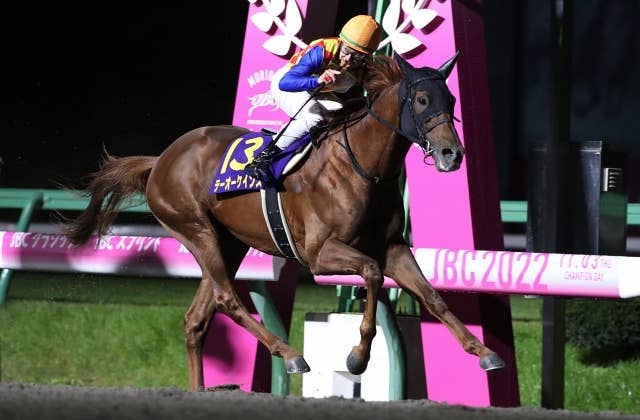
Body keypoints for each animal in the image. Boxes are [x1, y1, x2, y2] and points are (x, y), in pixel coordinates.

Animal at [63, 53, 506, 392]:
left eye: (450, 98)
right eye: (421, 99)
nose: (451, 154)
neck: (364, 167)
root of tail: (161, 160)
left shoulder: (394, 247)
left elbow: (432, 296)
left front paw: (484, 352)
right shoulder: (319, 254)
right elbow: (372, 273)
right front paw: (357, 357)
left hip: (229, 242)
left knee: (197, 318)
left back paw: (200, 390)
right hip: (196, 229)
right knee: (227, 300)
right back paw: (291, 355)